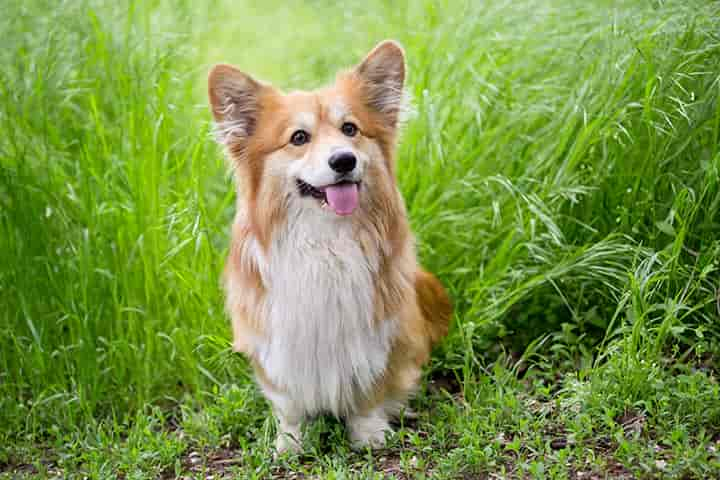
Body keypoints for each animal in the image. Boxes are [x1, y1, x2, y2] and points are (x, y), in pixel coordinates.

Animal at [207, 39, 450, 452]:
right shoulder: (274, 343)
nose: (344, 160)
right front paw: (290, 442)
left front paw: (369, 435)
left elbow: (369, 389)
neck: (324, 241)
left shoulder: (379, 334)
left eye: (350, 129)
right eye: (298, 138)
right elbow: (288, 403)